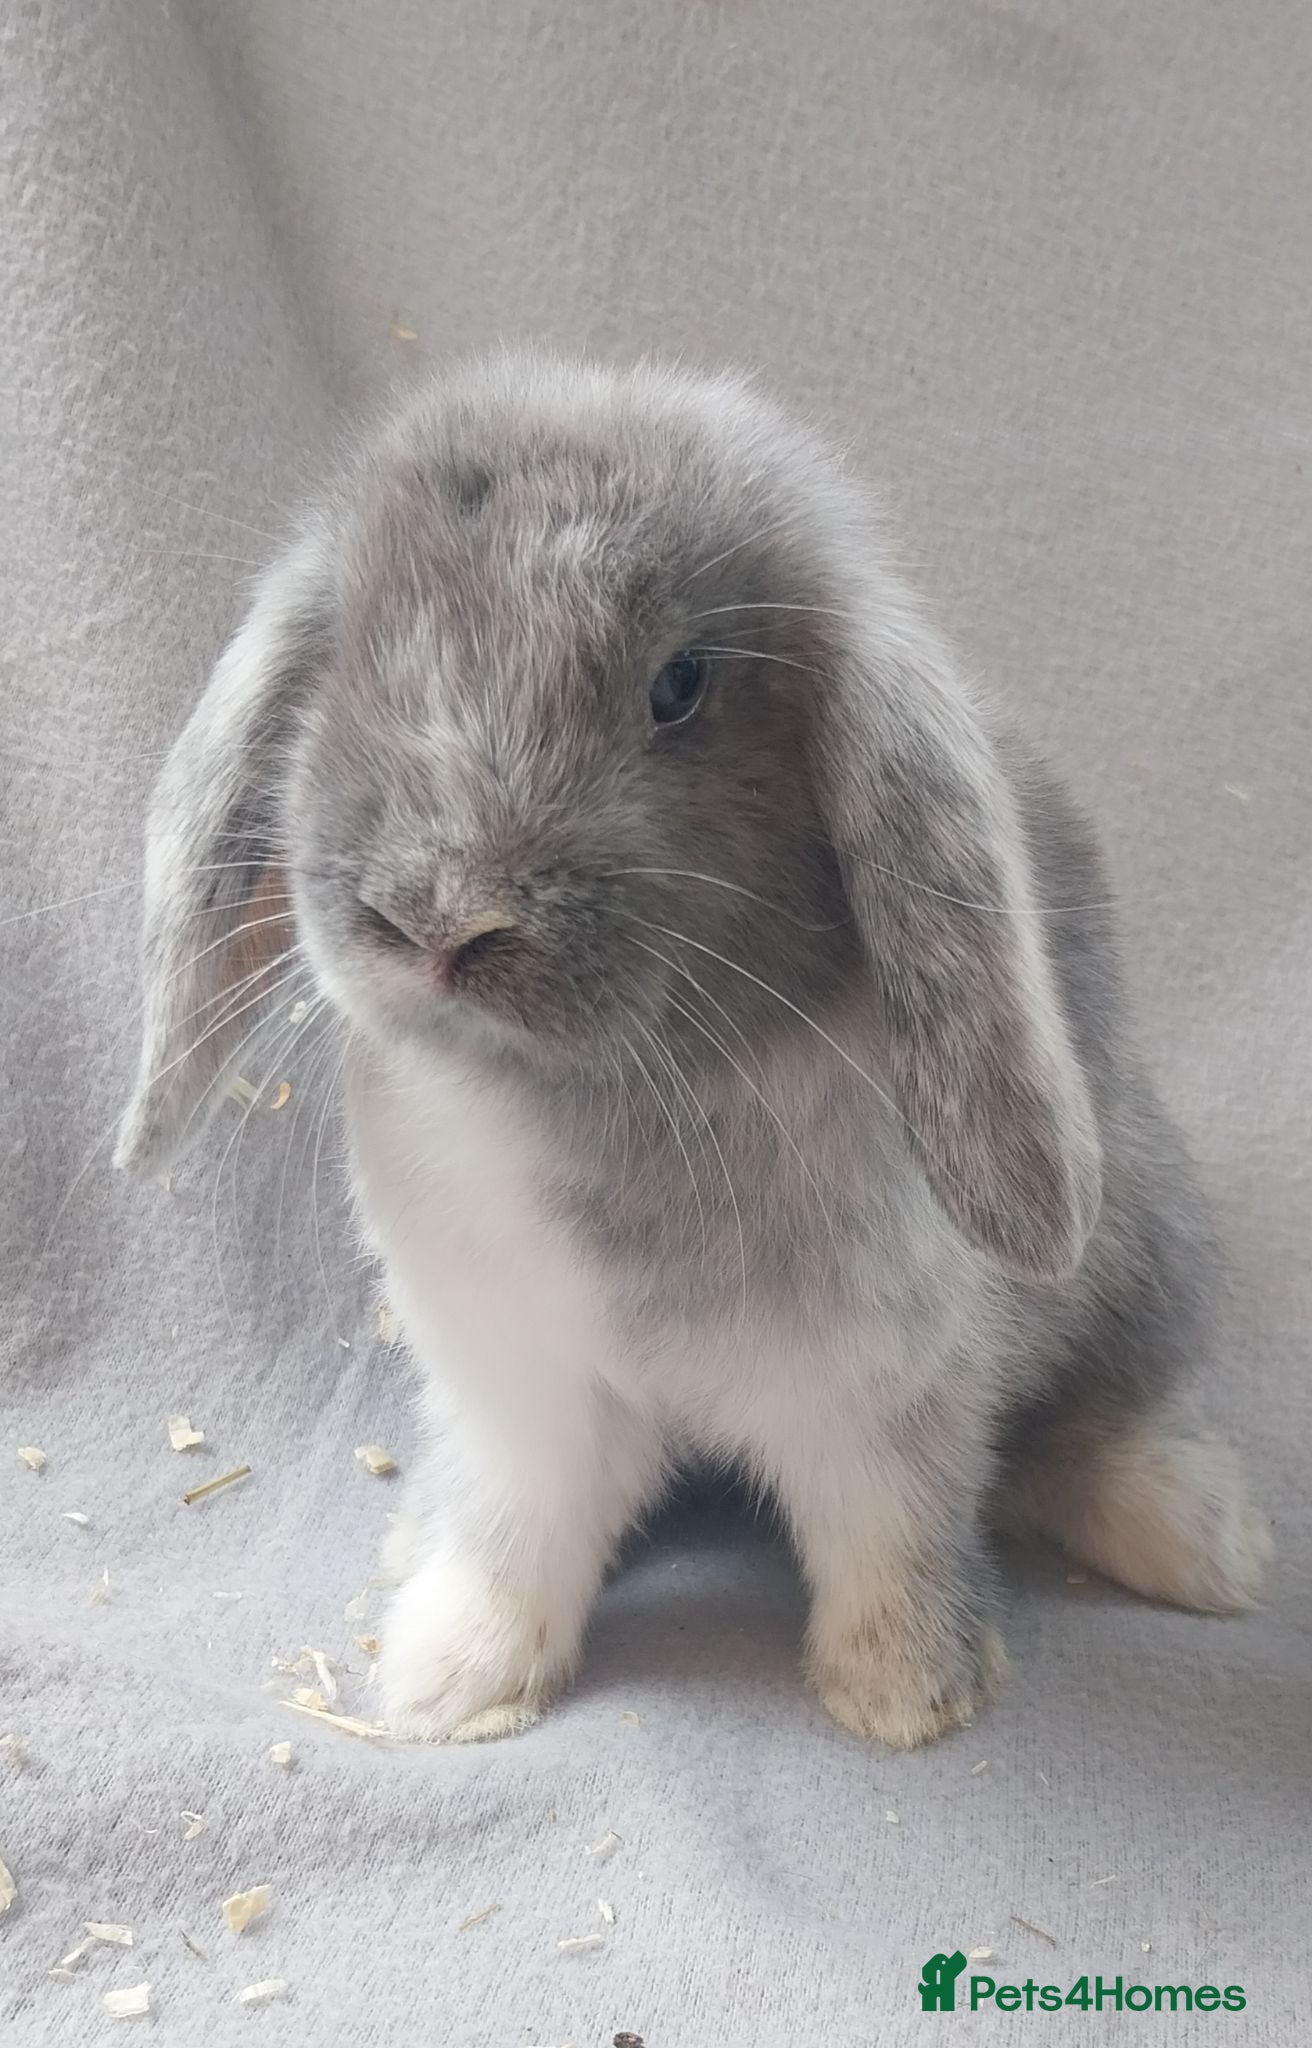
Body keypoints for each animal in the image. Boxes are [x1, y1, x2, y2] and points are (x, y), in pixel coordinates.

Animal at [115, 350, 1271, 1749]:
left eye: (681, 684)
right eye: (348, 654)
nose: (440, 921)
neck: (598, 1096)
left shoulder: (882, 1393)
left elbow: (889, 1534)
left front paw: (903, 1697)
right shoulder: (524, 1391)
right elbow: (515, 1535)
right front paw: (451, 1684)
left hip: (1142, 1262)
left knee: (1092, 1424)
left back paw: (1210, 1544)